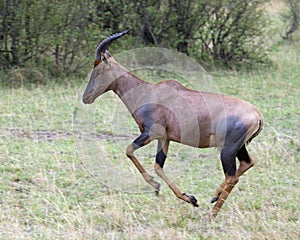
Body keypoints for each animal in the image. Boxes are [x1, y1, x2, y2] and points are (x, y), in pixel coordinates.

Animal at [82, 30, 262, 218]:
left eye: (97, 71)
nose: (85, 98)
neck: (147, 91)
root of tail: (257, 115)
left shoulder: (151, 133)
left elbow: (129, 150)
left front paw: (156, 186)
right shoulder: (164, 138)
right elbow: (158, 166)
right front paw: (189, 198)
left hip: (227, 150)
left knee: (232, 176)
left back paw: (212, 211)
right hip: (239, 147)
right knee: (247, 164)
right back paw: (214, 199)